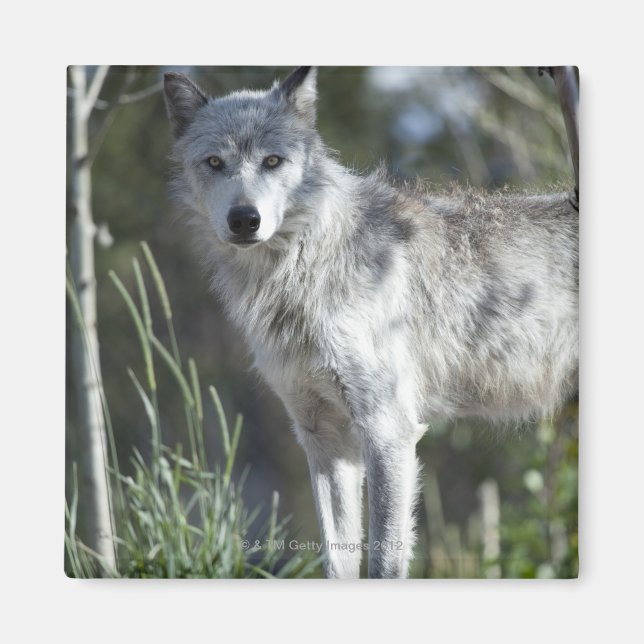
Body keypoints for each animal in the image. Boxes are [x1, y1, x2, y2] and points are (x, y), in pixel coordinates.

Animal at [163, 67, 578, 579]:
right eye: (215, 162)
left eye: (273, 161)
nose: (244, 219)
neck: (303, 272)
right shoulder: (323, 437)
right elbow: (337, 558)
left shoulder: (388, 431)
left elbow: (384, 560)